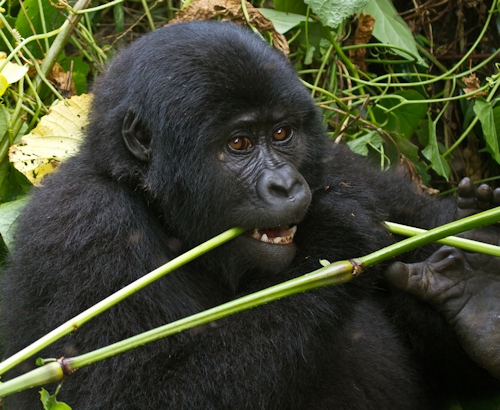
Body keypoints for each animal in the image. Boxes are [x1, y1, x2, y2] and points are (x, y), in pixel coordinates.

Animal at [2, 20, 500, 410]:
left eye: (282, 133)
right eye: (238, 143)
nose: (286, 185)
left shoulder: (336, 163)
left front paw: (480, 285)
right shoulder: (82, 223)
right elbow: (119, 397)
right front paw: (333, 237)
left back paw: (480, 297)